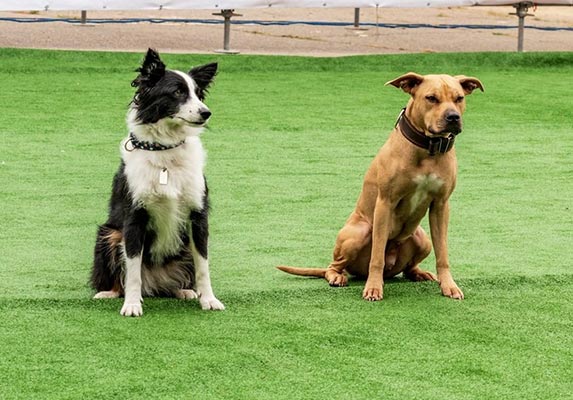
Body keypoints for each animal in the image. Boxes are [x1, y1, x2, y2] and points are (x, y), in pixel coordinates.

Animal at [90, 49, 222, 316]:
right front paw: (131, 304)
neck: (165, 151)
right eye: (178, 92)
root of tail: (156, 283)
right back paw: (109, 293)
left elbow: (203, 266)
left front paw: (209, 299)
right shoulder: (134, 217)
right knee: (124, 278)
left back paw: (184, 290)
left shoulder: (198, 216)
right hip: (109, 234)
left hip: (183, 245)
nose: (206, 113)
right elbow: (132, 270)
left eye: (198, 93)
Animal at [278, 73, 482, 302]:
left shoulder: (441, 205)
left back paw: (419, 273)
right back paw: (337, 277)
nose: (453, 117)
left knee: (409, 267)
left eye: (459, 98)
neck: (428, 149)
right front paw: (374, 288)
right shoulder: (385, 203)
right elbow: (376, 256)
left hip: (422, 239)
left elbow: (443, 253)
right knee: (335, 265)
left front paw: (449, 285)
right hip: (358, 232)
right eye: (431, 98)